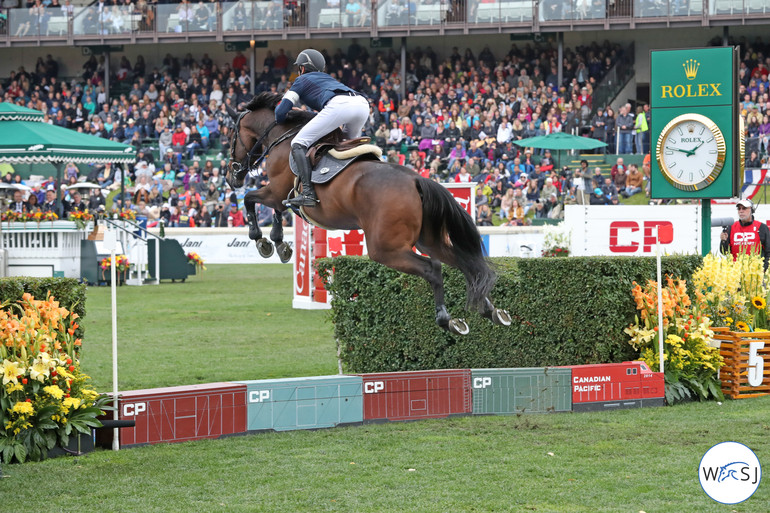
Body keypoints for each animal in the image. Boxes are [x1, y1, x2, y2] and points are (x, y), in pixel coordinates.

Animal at [224, 92, 510, 334]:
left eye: (230, 137)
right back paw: (491, 311)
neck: (282, 139)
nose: (231, 177)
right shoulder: (281, 196)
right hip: (429, 240)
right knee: (464, 262)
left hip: (386, 248)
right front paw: (279, 244)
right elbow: (274, 211)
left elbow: (250, 200)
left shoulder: (275, 191)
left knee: (433, 268)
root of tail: (416, 180)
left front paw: (261, 240)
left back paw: (446, 319)